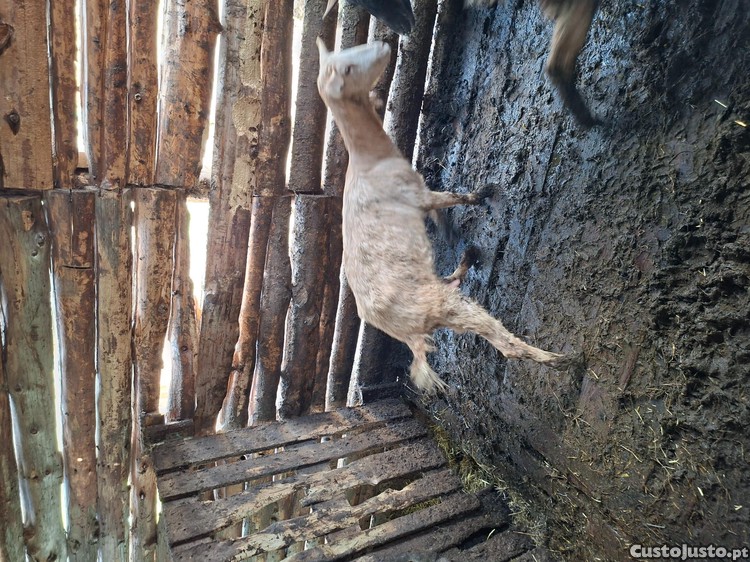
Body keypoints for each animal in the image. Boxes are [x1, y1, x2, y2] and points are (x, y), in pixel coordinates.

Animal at [316, 38, 570, 394]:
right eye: (348, 69)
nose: (383, 43)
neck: (370, 159)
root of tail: (403, 333)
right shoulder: (418, 194)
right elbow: (452, 196)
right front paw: (484, 193)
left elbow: (441, 210)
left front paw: (452, 230)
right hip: (444, 307)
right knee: (502, 342)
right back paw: (560, 360)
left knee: (453, 283)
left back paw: (469, 257)